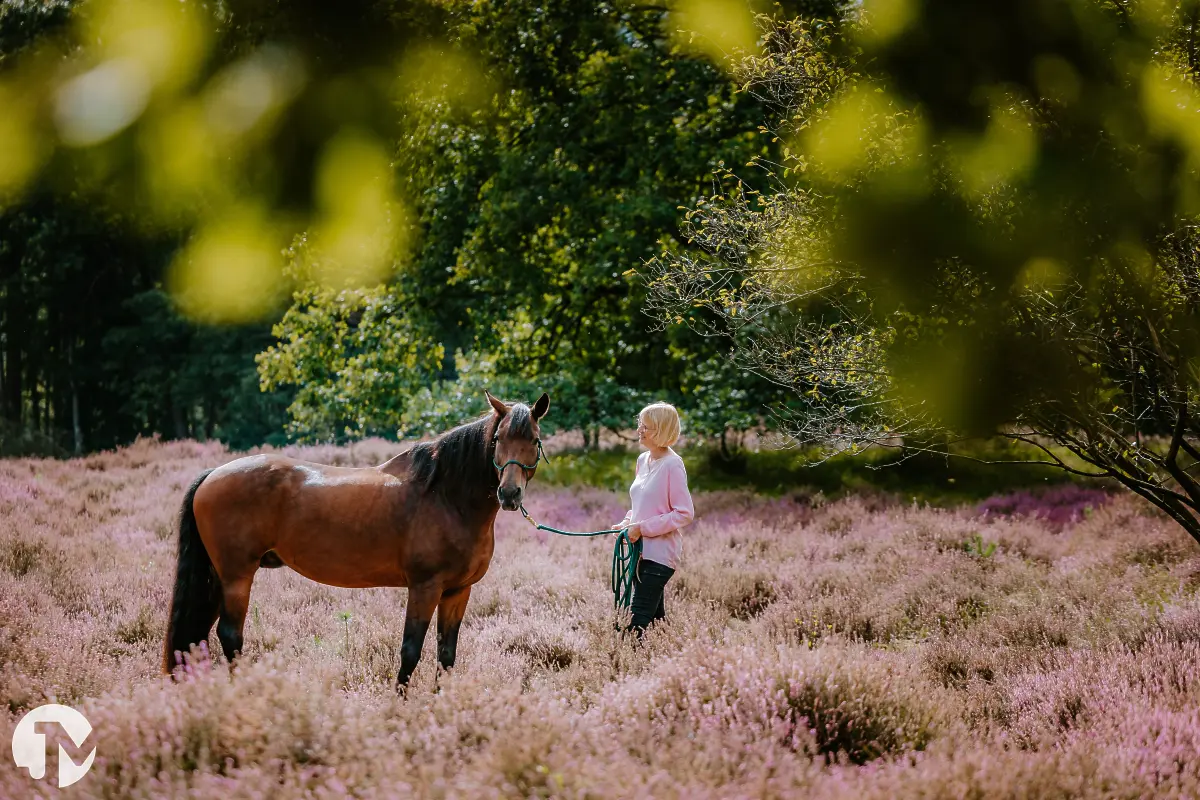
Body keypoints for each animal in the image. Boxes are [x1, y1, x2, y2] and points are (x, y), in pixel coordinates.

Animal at [163, 390, 550, 691]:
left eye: (533, 440)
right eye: (497, 439)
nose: (509, 494)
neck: (444, 495)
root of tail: (213, 473)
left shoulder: (457, 591)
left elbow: (446, 655)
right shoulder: (424, 588)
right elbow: (411, 650)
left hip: (219, 577)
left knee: (200, 635)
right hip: (236, 577)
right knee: (230, 636)